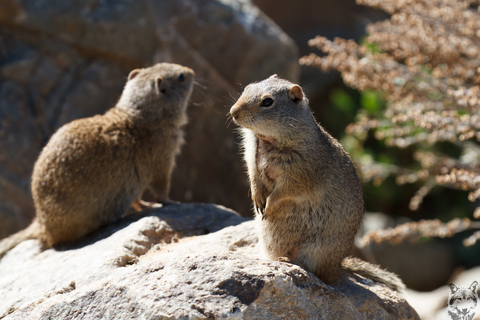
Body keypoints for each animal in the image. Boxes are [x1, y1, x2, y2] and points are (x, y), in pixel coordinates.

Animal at [0, 62, 195, 258]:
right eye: (180, 77)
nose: (191, 71)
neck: (140, 116)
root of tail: (40, 224)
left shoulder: (135, 182)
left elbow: (138, 198)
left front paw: (146, 205)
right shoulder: (163, 159)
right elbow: (161, 188)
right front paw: (172, 202)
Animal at [229, 75, 404, 292]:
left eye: (267, 102)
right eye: (247, 87)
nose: (233, 112)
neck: (267, 139)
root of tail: (338, 266)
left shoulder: (300, 173)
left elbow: (285, 191)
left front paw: (269, 206)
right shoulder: (251, 154)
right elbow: (253, 174)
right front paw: (257, 198)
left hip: (316, 250)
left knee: (316, 272)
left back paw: (290, 261)